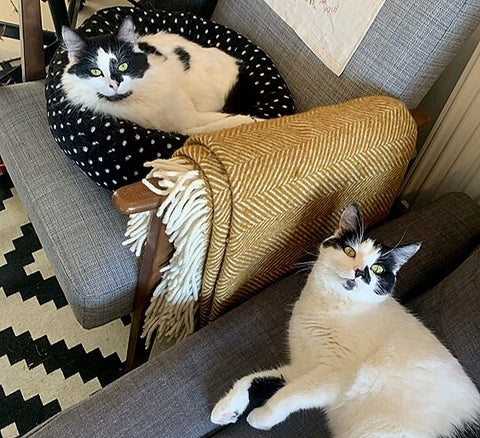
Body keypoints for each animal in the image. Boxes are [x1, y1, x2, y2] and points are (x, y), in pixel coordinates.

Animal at [61, 15, 262, 135]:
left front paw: (256, 121)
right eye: (95, 71)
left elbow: (218, 121)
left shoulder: (189, 115)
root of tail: (239, 64)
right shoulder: (187, 126)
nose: (114, 84)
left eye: (123, 65)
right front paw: (250, 121)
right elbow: (215, 126)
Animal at [211, 205, 480, 438]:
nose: (360, 272)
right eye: (350, 251)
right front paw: (226, 408)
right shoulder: (303, 365)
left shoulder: (334, 373)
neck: (329, 306)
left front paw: (263, 416)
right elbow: (254, 379)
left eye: (378, 269)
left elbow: (291, 393)